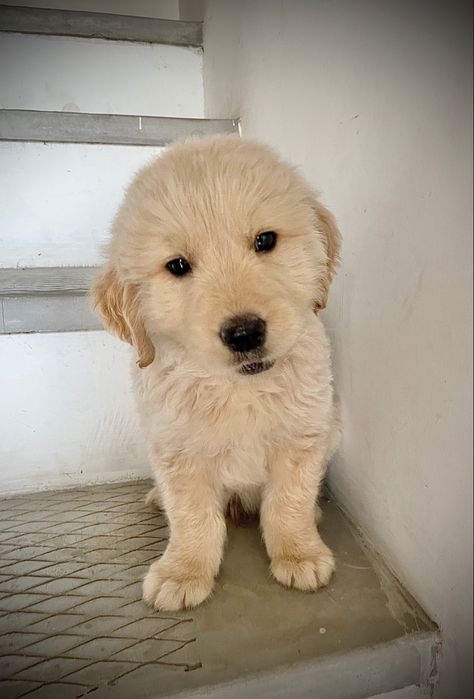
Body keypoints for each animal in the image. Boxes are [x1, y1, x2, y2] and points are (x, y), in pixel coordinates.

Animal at [90, 134, 340, 608]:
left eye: (265, 240)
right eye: (177, 266)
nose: (244, 333)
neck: (239, 387)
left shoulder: (303, 436)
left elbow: (289, 503)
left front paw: (299, 553)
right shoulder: (177, 452)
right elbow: (192, 518)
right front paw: (184, 571)